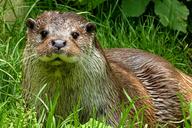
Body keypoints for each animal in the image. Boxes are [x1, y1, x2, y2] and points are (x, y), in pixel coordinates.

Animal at [22, 11, 192, 127]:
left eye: (75, 34)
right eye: (43, 33)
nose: (58, 42)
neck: (66, 101)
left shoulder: (109, 108)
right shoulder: (35, 105)